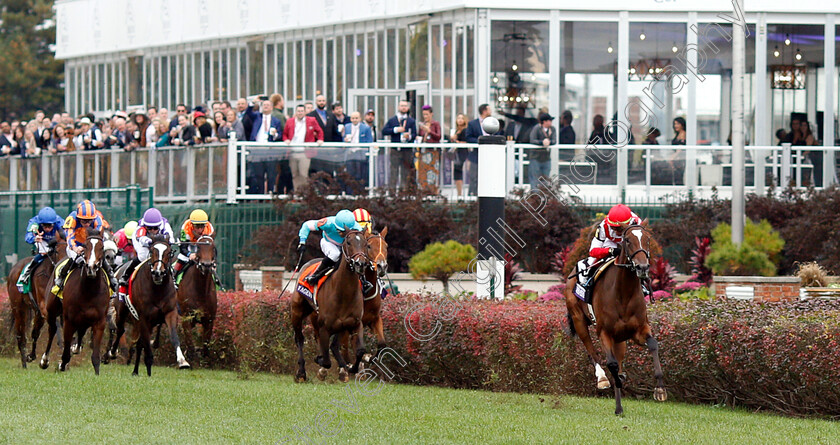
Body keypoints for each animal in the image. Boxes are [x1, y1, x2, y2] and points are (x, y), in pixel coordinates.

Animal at [106, 236, 190, 374]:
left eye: (169, 253)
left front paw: (182, 361)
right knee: (120, 330)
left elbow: (173, 336)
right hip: (122, 310)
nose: (157, 273)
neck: (158, 289)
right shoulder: (144, 316)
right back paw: (112, 353)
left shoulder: (170, 312)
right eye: (152, 251)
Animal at [176, 234, 218, 362]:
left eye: (213, 247)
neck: (200, 290)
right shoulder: (186, 316)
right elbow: (190, 342)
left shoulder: (209, 319)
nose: (206, 265)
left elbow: (206, 344)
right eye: (198, 247)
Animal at [294, 229, 370, 382]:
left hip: (332, 322)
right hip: (297, 312)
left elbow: (359, 350)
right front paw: (321, 361)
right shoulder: (325, 326)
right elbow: (327, 361)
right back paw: (301, 372)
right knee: (300, 339)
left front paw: (351, 367)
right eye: (348, 242)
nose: (360, 264)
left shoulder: (355, 323)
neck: (344, 292)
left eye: (366, 244)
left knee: (332, 345)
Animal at [568, 220, 668, 414]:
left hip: (620, 338)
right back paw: (602, 379)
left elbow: (653, 344)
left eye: (647, 239)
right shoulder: (604, 332)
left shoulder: (639, 330)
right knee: (591, 350)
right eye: (627, 240)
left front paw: (660, 389)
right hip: (579, 320)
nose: (642, 267)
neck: (623, 293)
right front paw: (617, 401)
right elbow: (612, 365)